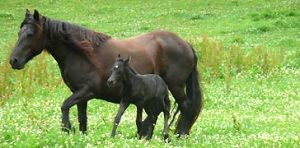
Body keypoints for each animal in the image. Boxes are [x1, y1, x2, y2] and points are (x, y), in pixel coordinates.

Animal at [8, 9, 204, 136]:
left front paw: (67, 128)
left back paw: (179, 135)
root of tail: (185, 44)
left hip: (175, 86)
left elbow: (64, 106)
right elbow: (82, 119)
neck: (82, 53)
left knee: (185, 107)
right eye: (19, 32)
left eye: (30, 34)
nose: (14, 61)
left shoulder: (86, 91)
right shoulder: (80, 95)